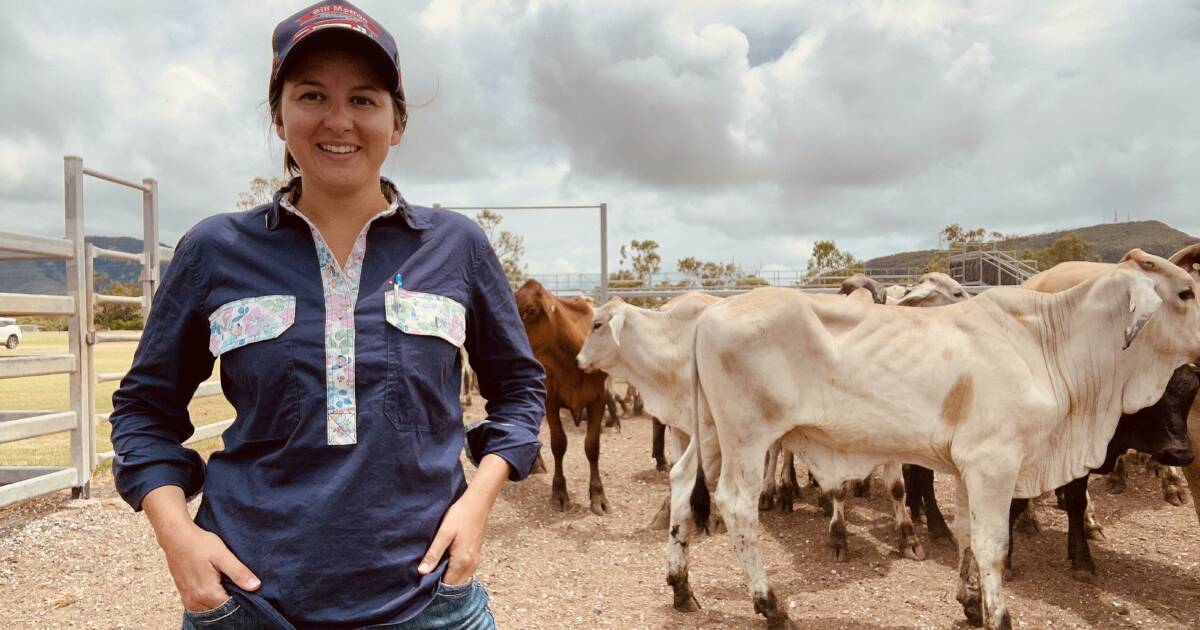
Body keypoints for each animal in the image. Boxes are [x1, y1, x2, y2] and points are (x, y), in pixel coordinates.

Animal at [513, 279, 609, 516]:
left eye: (530, 310)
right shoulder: (551, 401)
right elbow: (558, 444)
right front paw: (559, 494)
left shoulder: (599, 400)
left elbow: (592, 446)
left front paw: (598, 496)